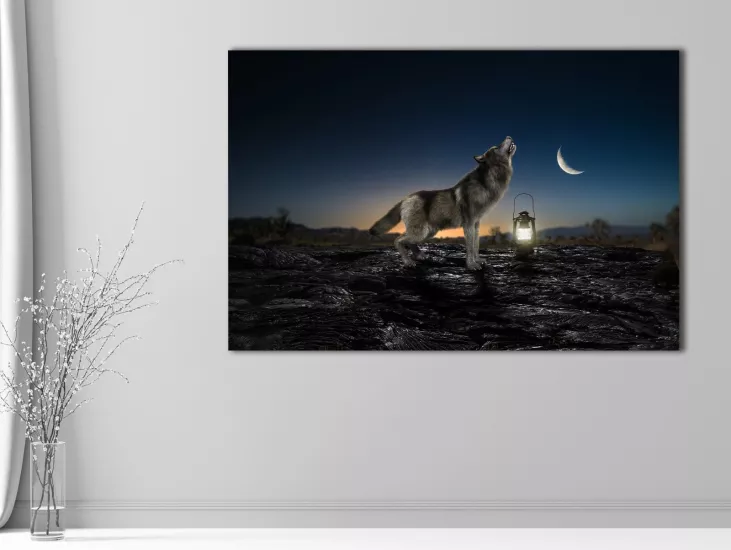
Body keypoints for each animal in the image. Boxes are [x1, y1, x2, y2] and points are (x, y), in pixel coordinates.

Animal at [369, 136, 516, 270]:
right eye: (496, 148)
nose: (508, 136)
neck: (485, 182)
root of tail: (405, 199)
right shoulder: (468, 225)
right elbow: (470, 248)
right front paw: (471, 265)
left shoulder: (476, 225)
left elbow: (476, 246)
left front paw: (478, 261)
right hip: (421, 232)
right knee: (398, 240)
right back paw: (408, 262)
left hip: (428, 232)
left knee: (408, 242)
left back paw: (420, 256)